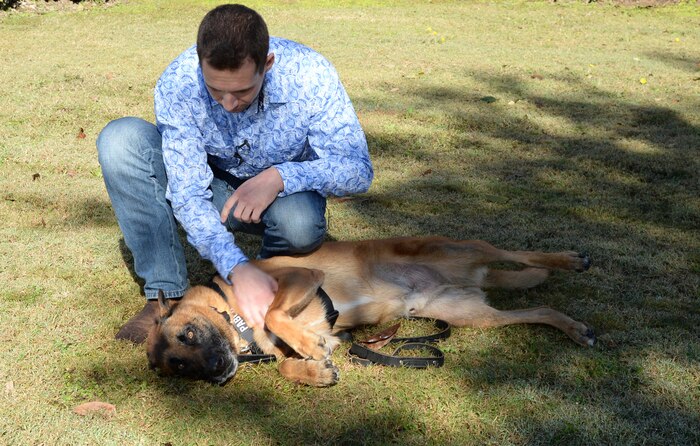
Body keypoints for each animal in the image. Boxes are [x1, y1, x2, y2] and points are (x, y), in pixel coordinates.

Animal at [145, 237, 592, 386]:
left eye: (187, 334)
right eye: (179, 368)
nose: (217, 372)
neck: (235, 313)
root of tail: (472, 278)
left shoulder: (301, 276)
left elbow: (274, 316)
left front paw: (307, 348)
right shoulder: (332, 336)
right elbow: (288, 362)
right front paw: (314, 371)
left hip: (461, 247)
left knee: (519, 254)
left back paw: (569, 260)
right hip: (470, 314)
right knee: (541, 308)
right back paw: (574, 328)